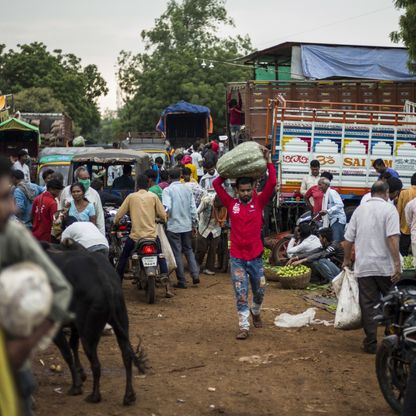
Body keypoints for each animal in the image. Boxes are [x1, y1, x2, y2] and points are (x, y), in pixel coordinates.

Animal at [43, 240, 147, 406]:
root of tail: (104, 280)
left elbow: (67, 353)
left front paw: (76, 386)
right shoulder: (75, 325)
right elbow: (73, 345)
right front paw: (80, 374)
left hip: (88, 333)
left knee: (96, 364)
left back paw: (94, 395)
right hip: (120, 321)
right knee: (126, 355)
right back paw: (129, 396)